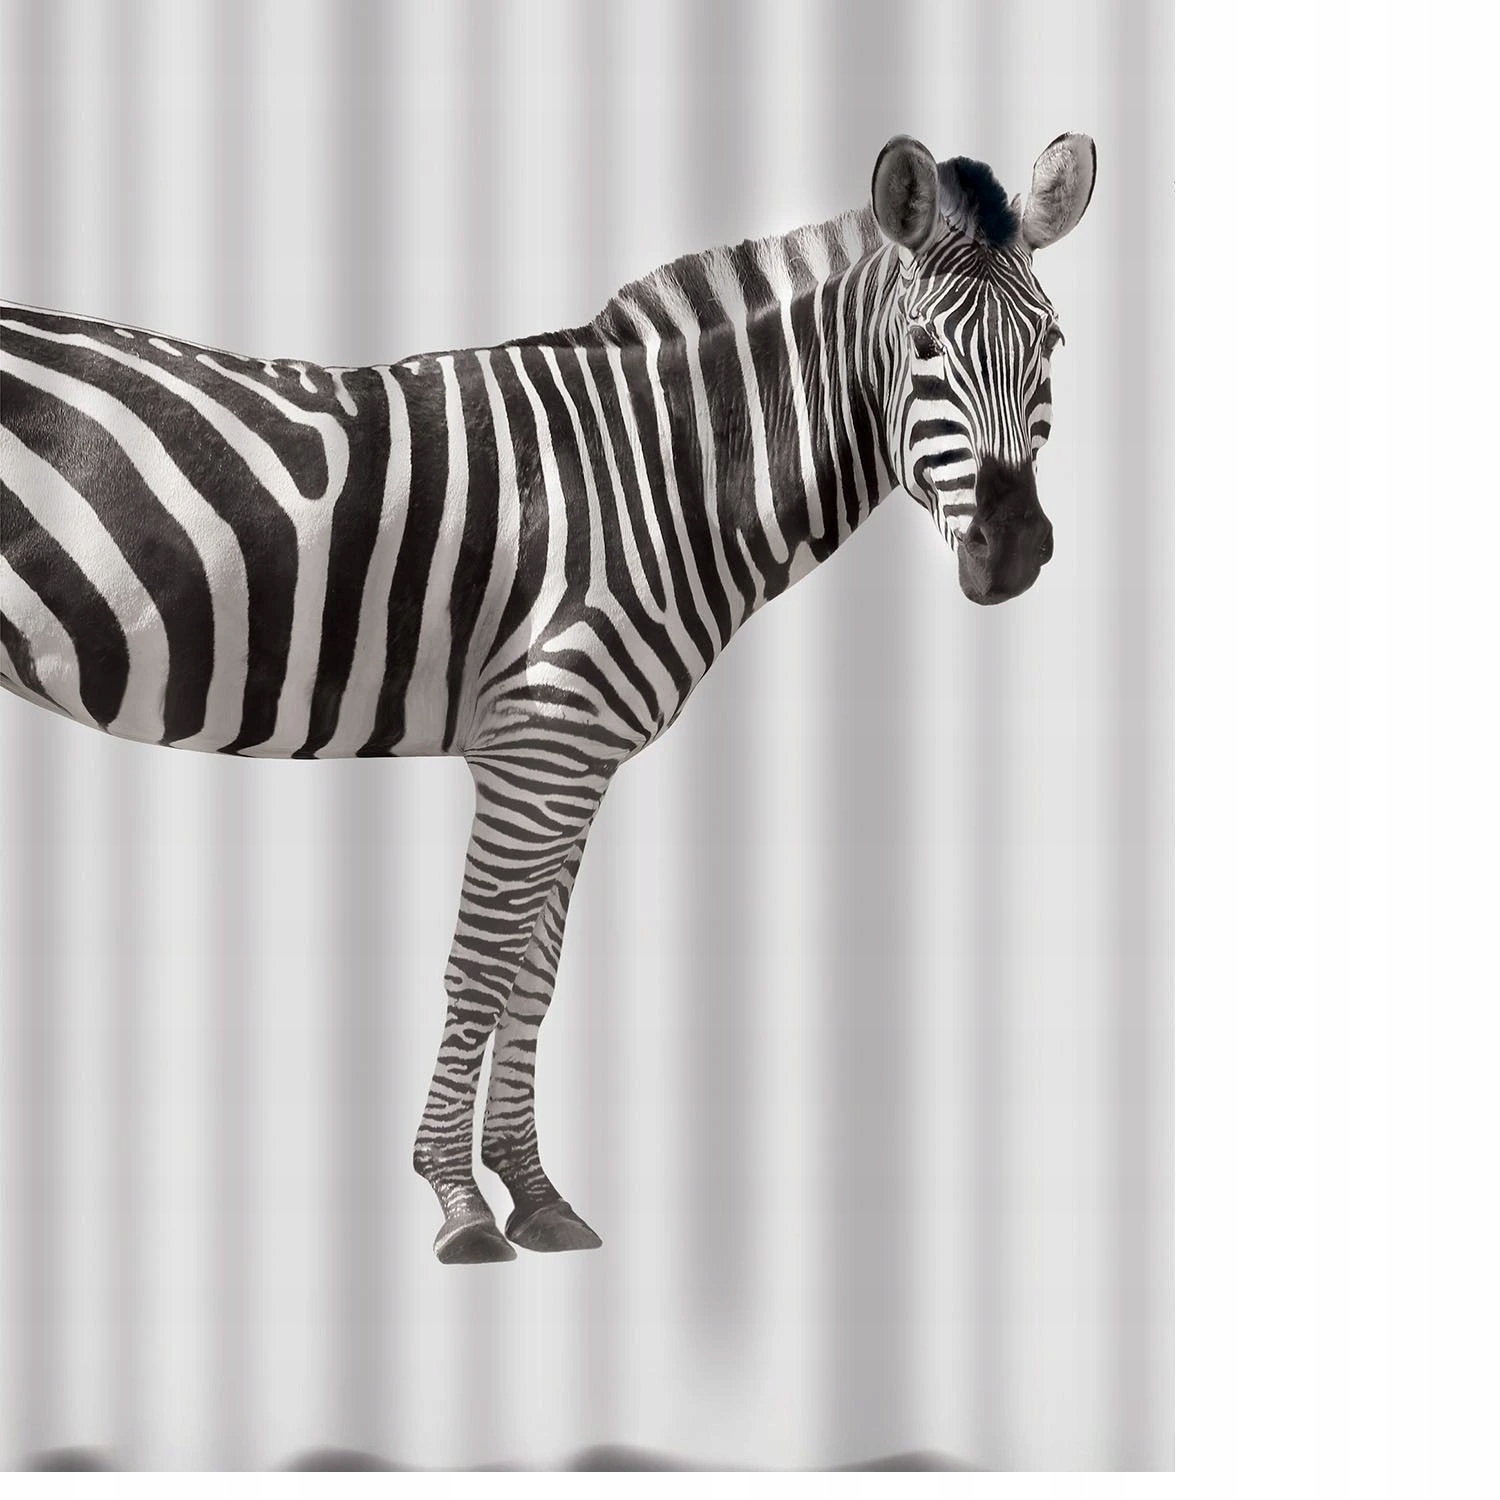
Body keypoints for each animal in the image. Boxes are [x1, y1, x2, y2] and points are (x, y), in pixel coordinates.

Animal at [0, 133, 1096, 1264]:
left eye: (1054, 341)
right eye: (923, 345)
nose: (1012, 552)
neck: (661, 476)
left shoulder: (572, 755)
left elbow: (536, 972)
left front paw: (533, 1193)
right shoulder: (541, 740)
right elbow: (481, 967)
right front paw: (458, 1202)